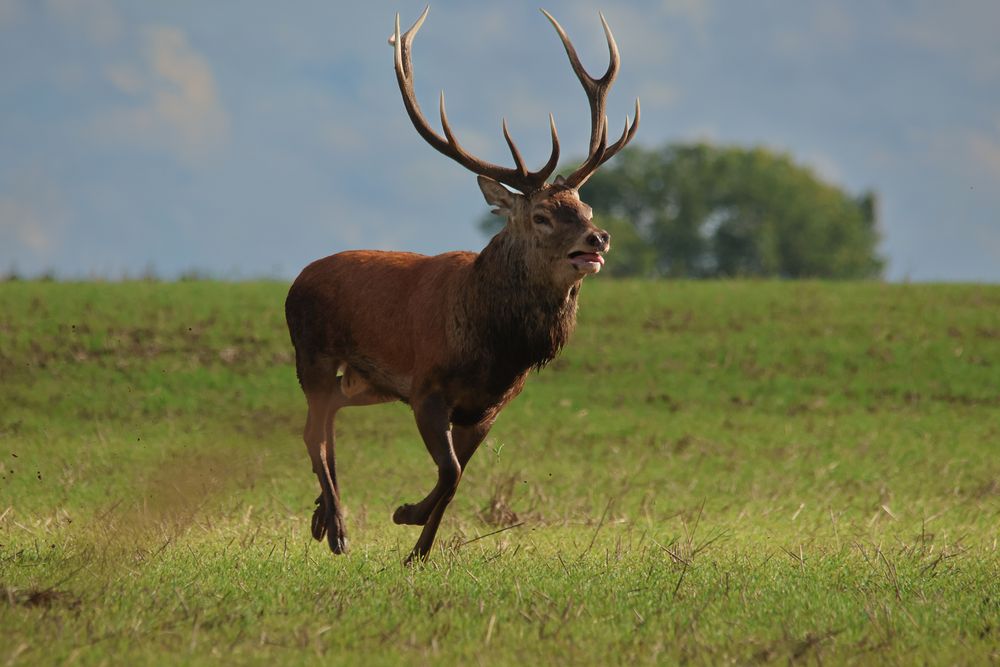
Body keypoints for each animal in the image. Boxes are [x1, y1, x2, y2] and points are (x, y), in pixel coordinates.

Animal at [282, 9, 640, 564]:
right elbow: (449, 471)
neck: (494, 347)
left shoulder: (488, 407)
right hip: (312, 353)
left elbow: (457, 479)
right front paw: (404, 514)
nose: (598, 237)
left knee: (329, 416)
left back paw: (324, 518)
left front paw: (418, 550)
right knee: (310, 430)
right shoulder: (428, 388)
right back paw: (337, 528)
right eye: (541, 215)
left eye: (586, 208)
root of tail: (298, 279)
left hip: (368, 381)